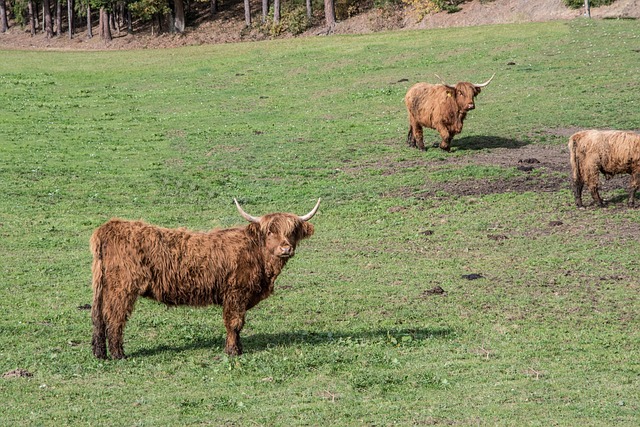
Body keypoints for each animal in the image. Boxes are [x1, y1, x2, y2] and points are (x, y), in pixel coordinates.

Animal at [90, 198, 320, 359]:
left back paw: (100, 354)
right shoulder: (236, 293)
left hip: (104, 286)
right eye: (270, 231)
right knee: (114, 318)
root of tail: (109, 227)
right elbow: (234, 323)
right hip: (122, 288)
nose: (286, 248)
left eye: (292, 231)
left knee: (99, 317)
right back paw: (119, 355)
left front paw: (238, 348)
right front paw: (232, 351)